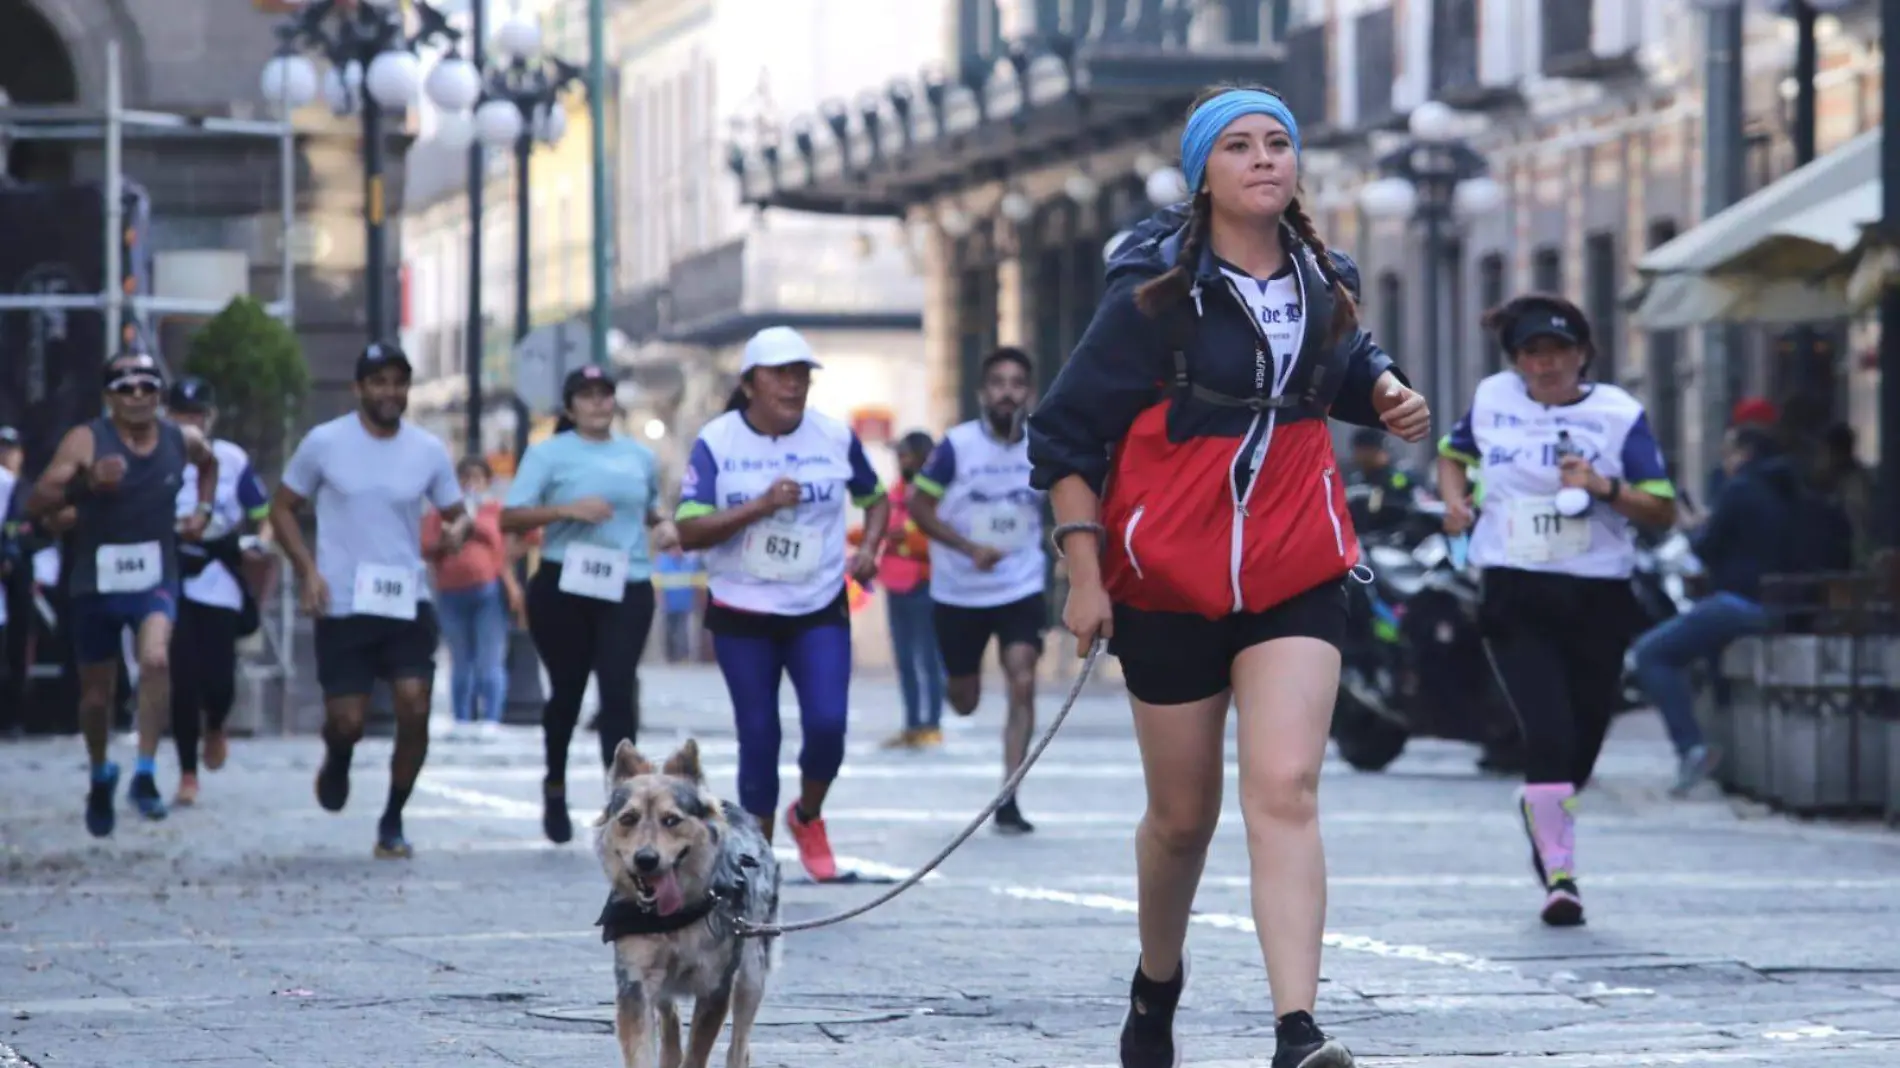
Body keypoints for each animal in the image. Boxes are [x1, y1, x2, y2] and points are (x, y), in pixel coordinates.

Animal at [589, 741, 775, 1064]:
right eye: (628, 819)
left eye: (672, 820)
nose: (646, 859)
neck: (671, 918)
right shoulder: (635, 983)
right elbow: (641, 1048)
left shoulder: (715, 987)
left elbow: (697, 1053)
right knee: (669, 1018)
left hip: (752, 973)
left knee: (739, 1042)